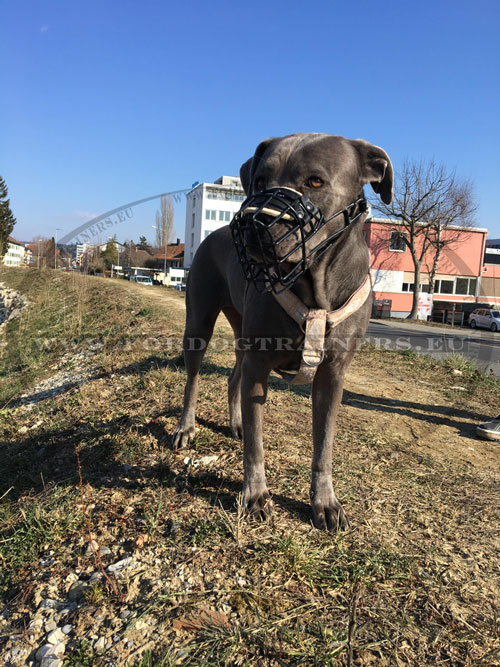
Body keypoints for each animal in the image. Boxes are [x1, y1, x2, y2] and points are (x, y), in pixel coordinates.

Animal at [174, 134, 392, 532]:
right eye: (260, 181)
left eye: (315, 181)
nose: (252, 222)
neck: (315, 285)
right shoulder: (260, 365)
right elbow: (256, 447)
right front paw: (255, 496)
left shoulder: (332, 375)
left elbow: (324, 445)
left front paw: (325, 502)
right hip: (199, 324)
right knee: (193, 379)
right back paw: (186, 427)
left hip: (240, 334)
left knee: (233, 377)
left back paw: (236, 423)